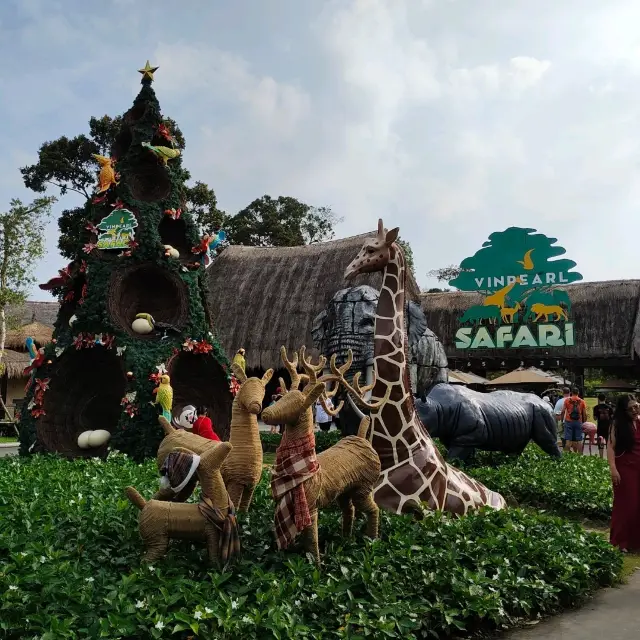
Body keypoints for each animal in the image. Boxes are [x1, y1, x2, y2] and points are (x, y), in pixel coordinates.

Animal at [260, 348, 390, 564]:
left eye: (298, 404)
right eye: (283, 397)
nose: (265, 413)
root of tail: (362, 437)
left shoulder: (311, 505)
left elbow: (312, 540)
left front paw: (317, 565)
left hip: (364, 486)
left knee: (373, 509)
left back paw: (371, 541)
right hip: (345, 492)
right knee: (349, 510)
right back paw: (345, 538)